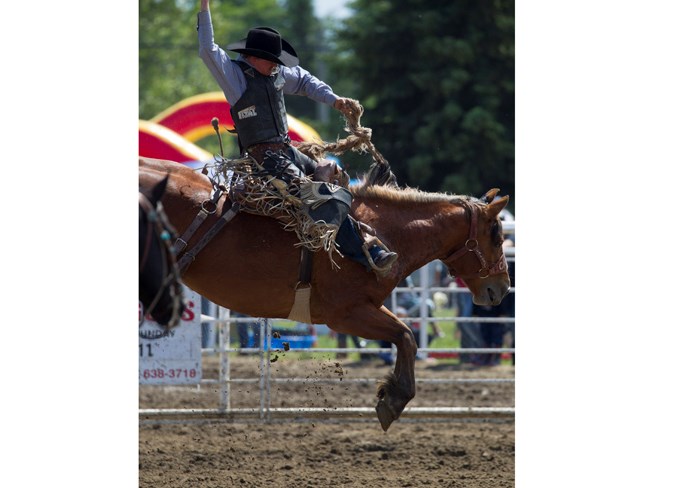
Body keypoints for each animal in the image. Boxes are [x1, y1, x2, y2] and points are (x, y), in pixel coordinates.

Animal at [139, 157, 508, 430]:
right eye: (497, 234)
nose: (501, 288)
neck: (379, 232)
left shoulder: (366, 308)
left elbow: (406, 337)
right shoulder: (346, 313)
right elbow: (406, 336)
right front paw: (393, 399)